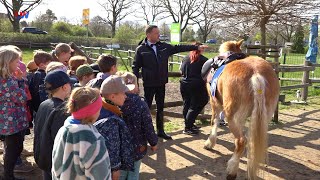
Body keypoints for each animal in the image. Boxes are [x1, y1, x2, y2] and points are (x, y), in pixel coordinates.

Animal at [205, 40, 280, 179]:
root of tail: (256, 74)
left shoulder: (214, 103)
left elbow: (214, 121)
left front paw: (209, 143)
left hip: (233, 117)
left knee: (241, 141)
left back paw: (232, 169)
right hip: (263, 117)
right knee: (251, 142)